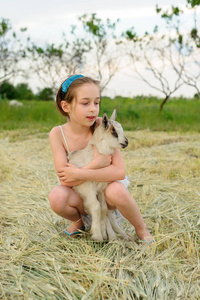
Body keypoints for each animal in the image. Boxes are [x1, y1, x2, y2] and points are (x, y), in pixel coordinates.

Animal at [68, 110, 130, 241]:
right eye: (113, 131)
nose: (126, 142)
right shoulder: (87, 189)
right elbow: (96, 207)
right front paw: (97, 236)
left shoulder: (101, 190)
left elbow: (103, 209)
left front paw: (103, 234)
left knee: (109, 214)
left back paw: (121, 236)